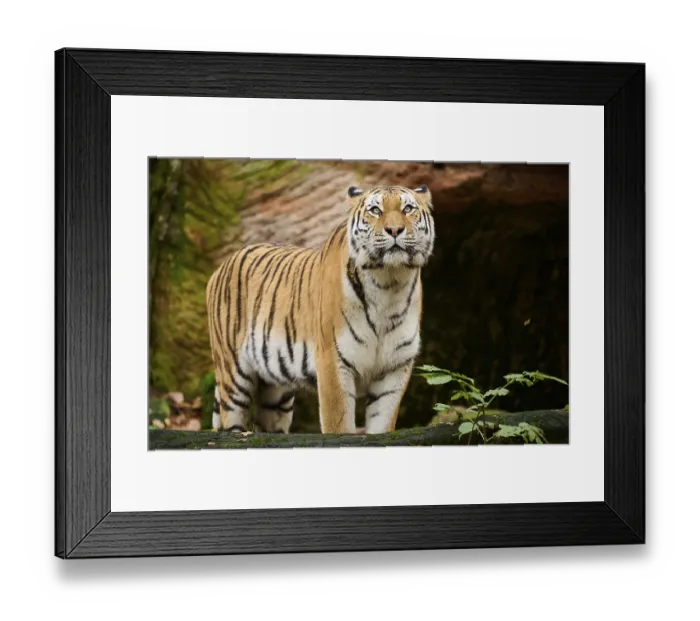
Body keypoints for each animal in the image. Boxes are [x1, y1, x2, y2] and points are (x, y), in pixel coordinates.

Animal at [206, 184, 435, 435]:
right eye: (375, 210)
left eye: (408, 209)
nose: (394, 230)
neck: (390, 284)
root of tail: (220, 268)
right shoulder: (332, 360)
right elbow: (339, 425)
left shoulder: (395, 367)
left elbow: (382, 426)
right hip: (233, 376)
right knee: (232, 425)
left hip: (276, 392)